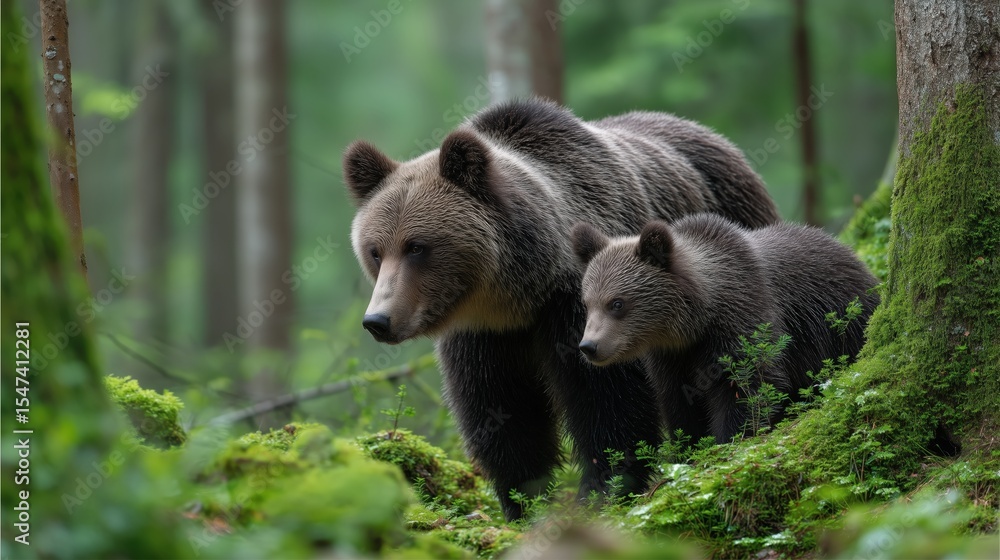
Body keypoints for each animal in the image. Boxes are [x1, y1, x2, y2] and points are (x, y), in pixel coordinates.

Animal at [343, 98, 780, 520]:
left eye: (417, 246)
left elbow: (609, 401)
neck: (521, 293)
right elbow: (500, 409)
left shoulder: (585, 307)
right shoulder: (484, 334)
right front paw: (525, 501)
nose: (378, 320)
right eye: (375, 251)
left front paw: (602, 491)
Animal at [571, 213, 879, 443]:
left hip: (841, 322)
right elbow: (680, 404)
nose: (589, 346)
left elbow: (747, 384)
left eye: (617, 303)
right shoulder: (672, 358)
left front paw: (729, 438)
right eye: (587, 303)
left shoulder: (742, 321)